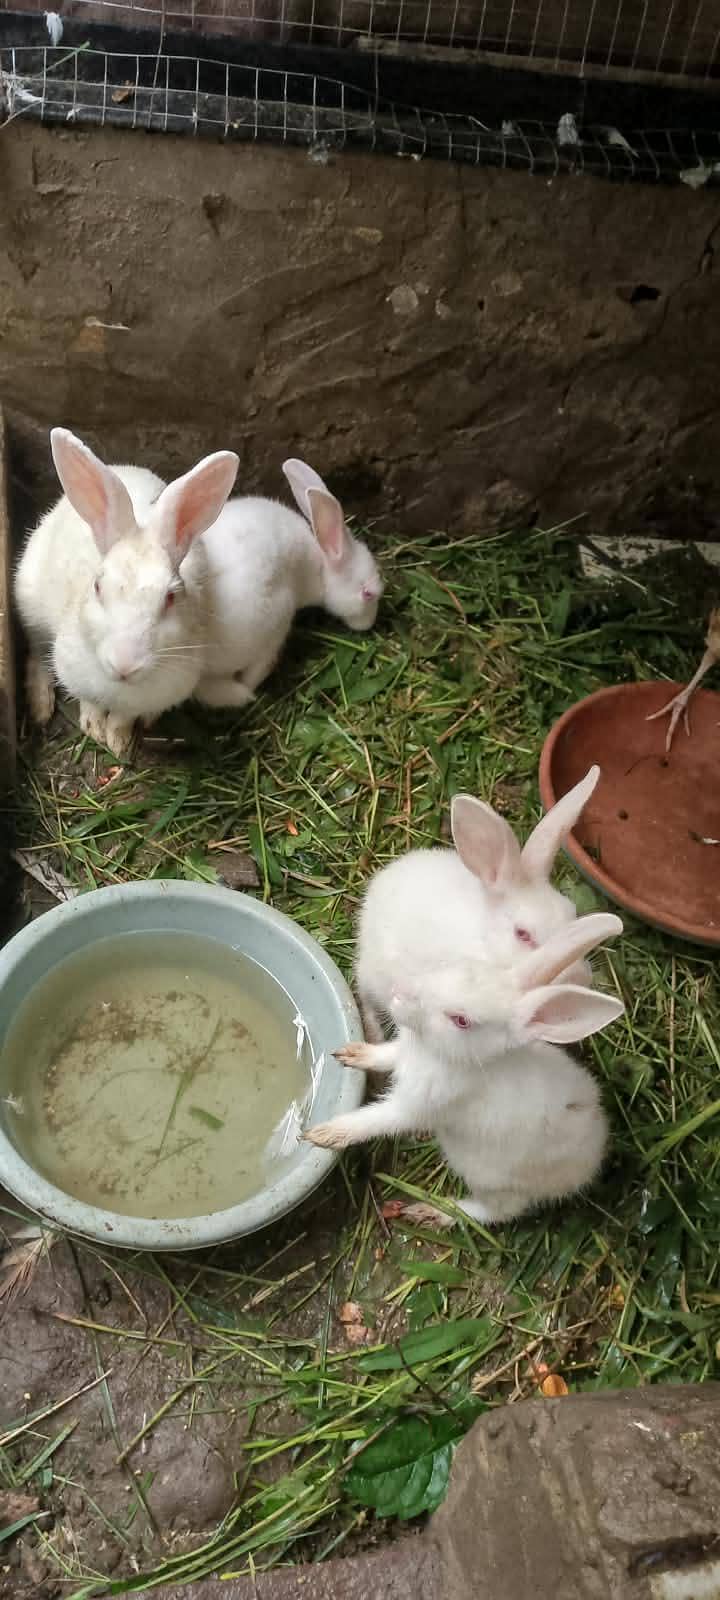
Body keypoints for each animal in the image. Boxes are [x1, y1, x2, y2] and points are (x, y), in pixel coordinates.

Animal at [15, 429, 239, 756]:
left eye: (170, 597)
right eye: (97, 586)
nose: (125, 665)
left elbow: (124, 716)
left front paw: (118, 742)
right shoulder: (76, 674)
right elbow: (89, 702)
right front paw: (94, 729)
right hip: (29, 602)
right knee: (36, 652)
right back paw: (41, 707)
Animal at [306, 911, 624, 1226]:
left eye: (461, 1020)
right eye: (453, 967)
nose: (398, 993)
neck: (435, 1053)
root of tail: (590, 1163)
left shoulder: (415, 1107)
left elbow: (374, 1120)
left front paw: (323, 1135)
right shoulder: (402, 1053)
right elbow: (383, 1056)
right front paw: (352, 1053)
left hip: (488, 1177)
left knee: (498, 1212)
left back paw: (432, 1211)